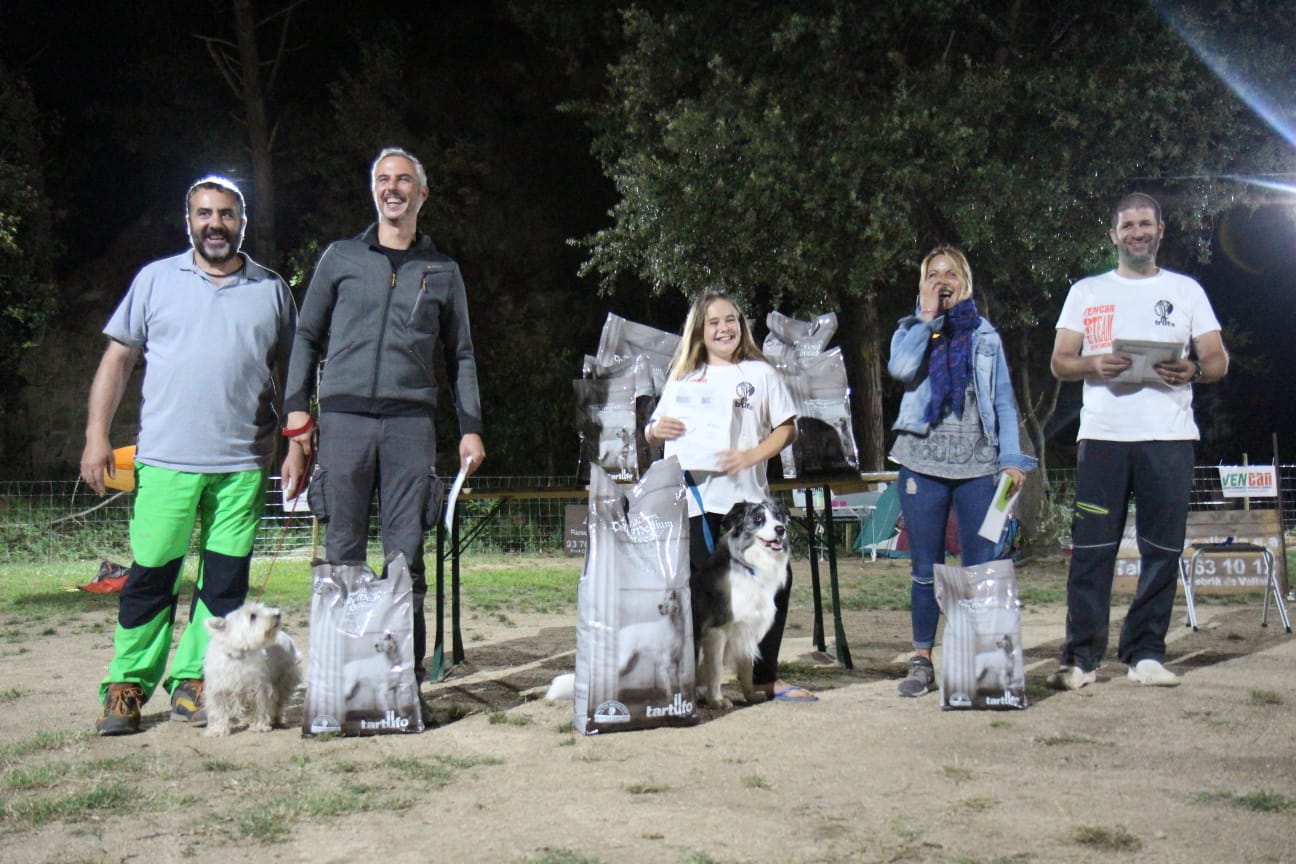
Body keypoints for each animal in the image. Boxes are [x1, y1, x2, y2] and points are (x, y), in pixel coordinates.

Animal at [203, 601, 301, 735]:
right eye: (252, 616)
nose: (278, 614)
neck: (238, 655)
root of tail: (285, 635)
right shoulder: (218, 689)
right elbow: (218, 710)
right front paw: (217, 730)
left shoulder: (259, 687)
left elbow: (260, 706)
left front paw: (260, 726)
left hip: (284, 679)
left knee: (279, 702)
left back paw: (276, 719)